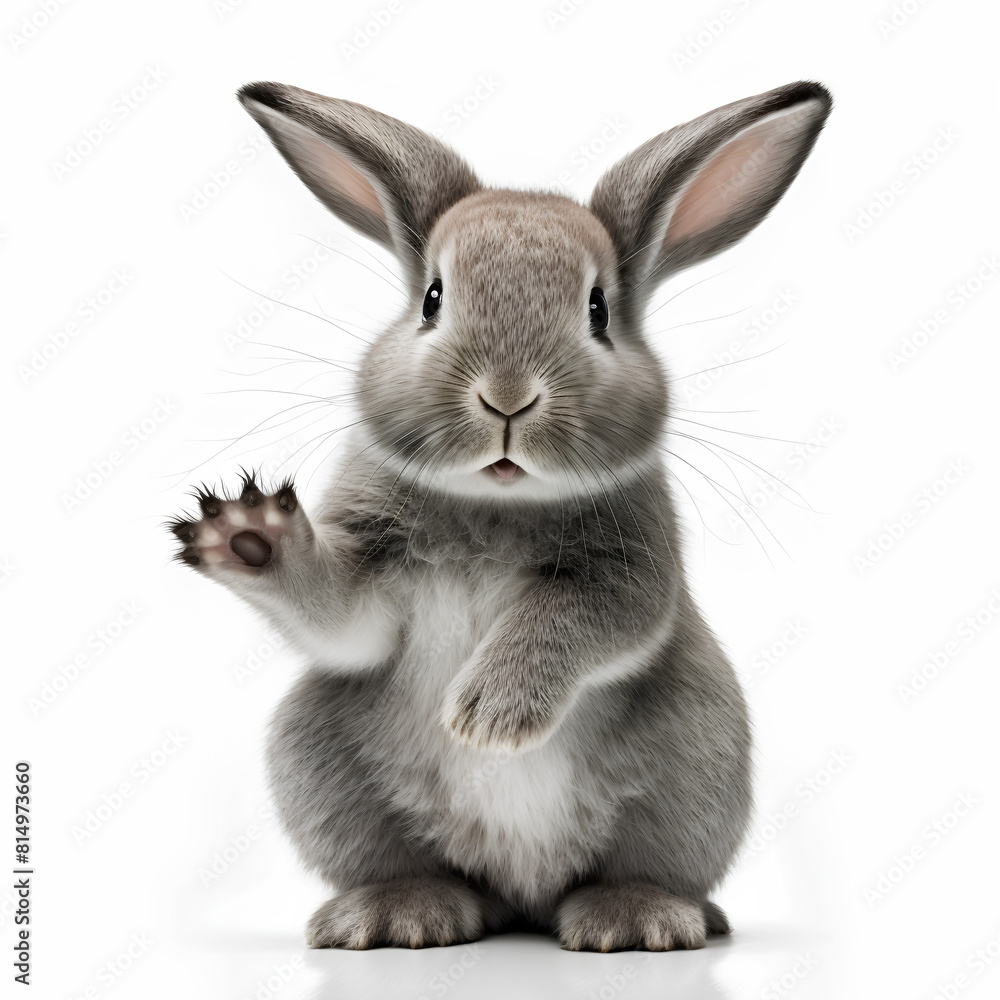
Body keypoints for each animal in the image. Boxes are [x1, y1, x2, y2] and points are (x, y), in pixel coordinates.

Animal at [169, 79, 831, 951]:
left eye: (598, 311)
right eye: (432, 300)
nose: (507, 397)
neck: (494, 505)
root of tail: (525, 895)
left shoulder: (629, 574)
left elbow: (577, 619)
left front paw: (487, 718)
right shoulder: (367, 581)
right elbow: (341, 618)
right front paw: (250, 537)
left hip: (700, 757)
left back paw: (636, 917)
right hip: (314, 752)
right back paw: (400, 912)